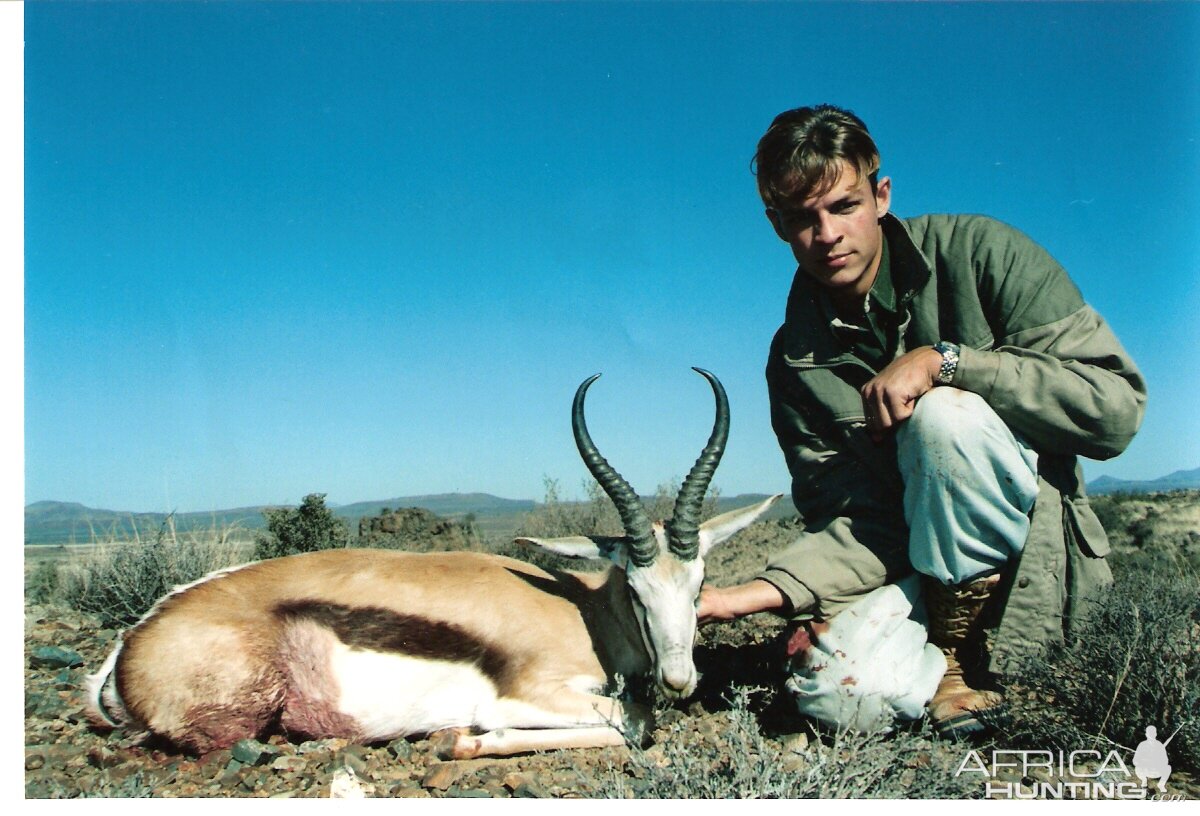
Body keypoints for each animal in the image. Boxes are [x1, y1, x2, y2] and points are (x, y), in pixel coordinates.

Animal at [84, 369, 777, 758]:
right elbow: (632, 721)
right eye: (635, 588)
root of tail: (135, 639)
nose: (680, 680)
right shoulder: (529, 695)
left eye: (700, 583)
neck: (584, 616)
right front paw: (458, 739)